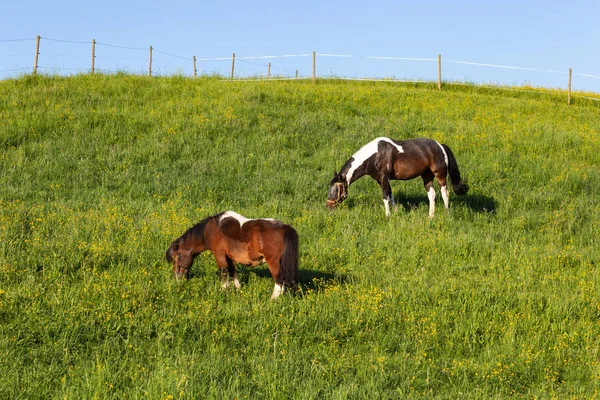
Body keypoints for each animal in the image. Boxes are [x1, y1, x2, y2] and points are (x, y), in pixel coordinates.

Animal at [165, 211, 298, 298]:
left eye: (177, 258)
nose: (177, 278)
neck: (210, 229)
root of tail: (285, 227)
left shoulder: (219, 254)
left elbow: (224, 270)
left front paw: (224, 289)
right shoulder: (229, 256)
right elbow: (233, 270)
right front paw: (237, 288)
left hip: (273, 262)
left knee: (279, 279)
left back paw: (273, 298)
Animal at [328, 138, 468, 219]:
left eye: (336, 189)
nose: (329, 205)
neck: (374, 155)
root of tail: (441, 146)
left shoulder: (384, 177)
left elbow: (385, 196)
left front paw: (388, 215)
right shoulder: (381, 180)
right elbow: (390, 194)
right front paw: (395, 212)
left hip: (440, 175)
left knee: (445, 193)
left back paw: (446, 213)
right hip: (427, 176)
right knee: (432, 194)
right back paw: (431, 216)